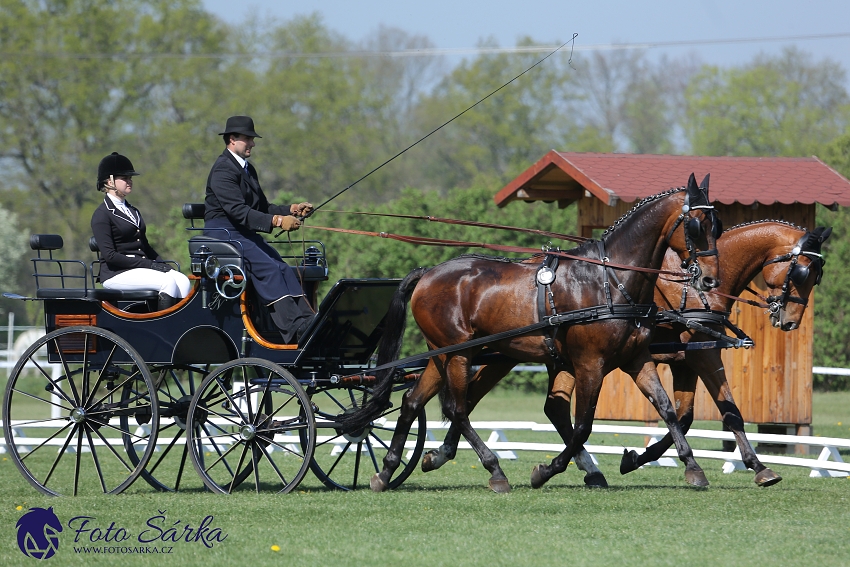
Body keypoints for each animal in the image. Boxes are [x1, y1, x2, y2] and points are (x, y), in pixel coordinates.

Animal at [338, 173, 716, 492]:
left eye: (717, 224)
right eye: (698, 224)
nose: (709, 280)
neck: (609, 281)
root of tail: (429, 273)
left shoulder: (636, 359)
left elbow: (667, 409)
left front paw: (692, 467)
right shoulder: (590, 364)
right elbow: (583, 426)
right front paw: (546, 470)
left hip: (444, 354)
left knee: (413, 402)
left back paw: (387, 472)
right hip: (458, 354)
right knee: (458, 409)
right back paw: (495, 471)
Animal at [424, 222, 828, 488]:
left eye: (816, 276)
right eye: (802, 272)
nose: (790, 321)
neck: (694, 288)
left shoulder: (686, 361)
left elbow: (688, 415)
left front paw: (640, 459)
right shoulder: (701, 357)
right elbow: (722, 413)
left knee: (509, 404)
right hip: (490, 354)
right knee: (464, 401)